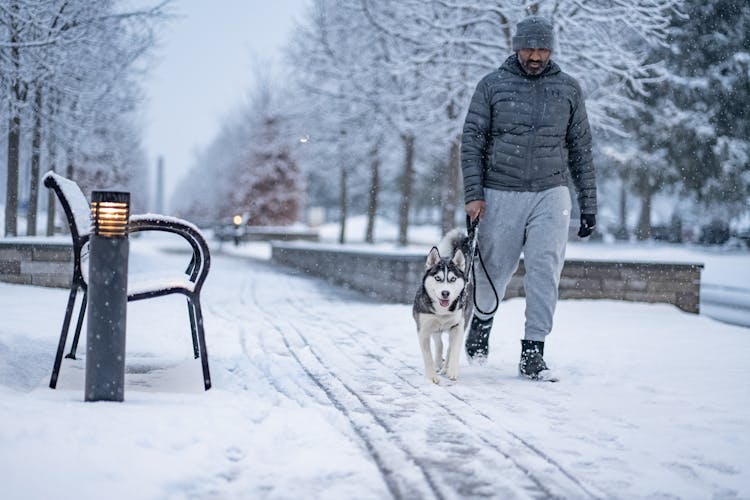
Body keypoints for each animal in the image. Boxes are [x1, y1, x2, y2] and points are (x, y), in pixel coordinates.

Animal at [414, 229, 472, 384]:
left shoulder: (458, 326)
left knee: (450, 346)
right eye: (438, 278)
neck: (442, 311)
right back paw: (438, 363)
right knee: (439, 344)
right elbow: (427, 355)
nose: (445, 293)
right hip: (434, 329)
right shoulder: (424, 329)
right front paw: (432, 375)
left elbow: (455, 350)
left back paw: (445, 368)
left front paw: (452, 371)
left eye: (452, 279)